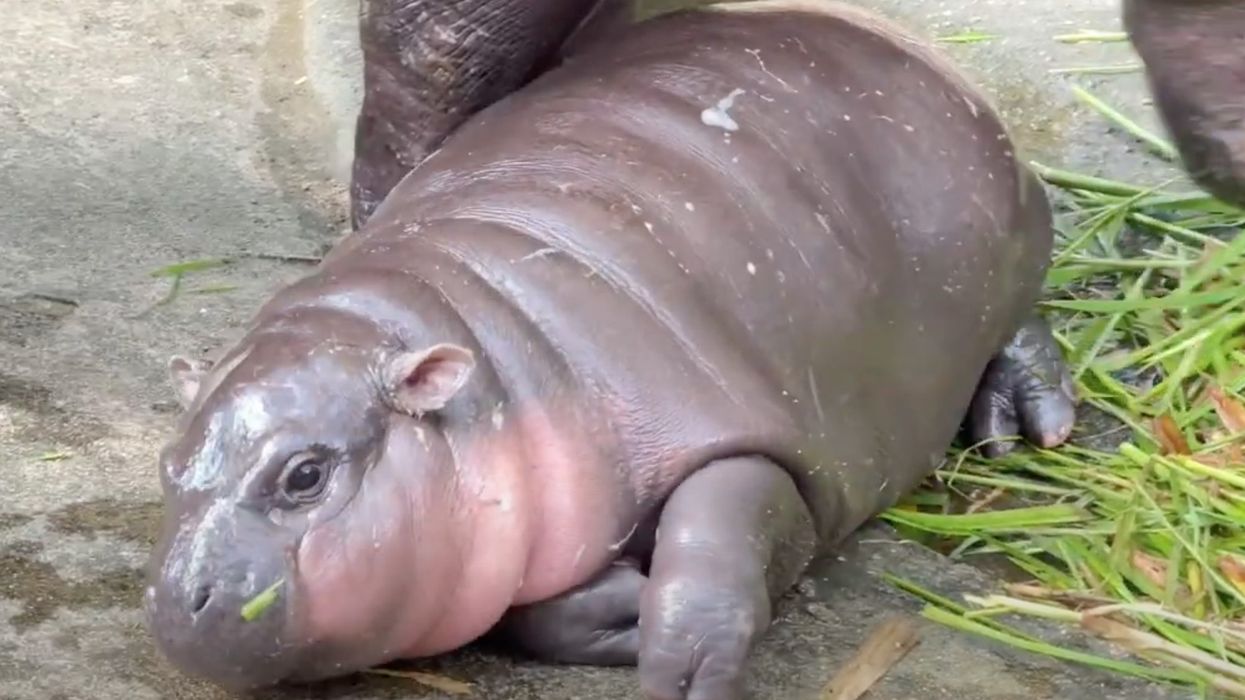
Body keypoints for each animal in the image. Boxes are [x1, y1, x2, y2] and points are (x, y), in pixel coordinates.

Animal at [145, 2, 1079, 699]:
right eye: (167, 467)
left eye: (304, 474)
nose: (175, 607)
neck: (484, 349)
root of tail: (918, 51)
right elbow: (542, 612)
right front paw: (627, 602)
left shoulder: (732, 427)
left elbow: (721, 532)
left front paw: (681, 666)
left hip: (1005, 254)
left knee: (1021, 324)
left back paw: (1024, 428)